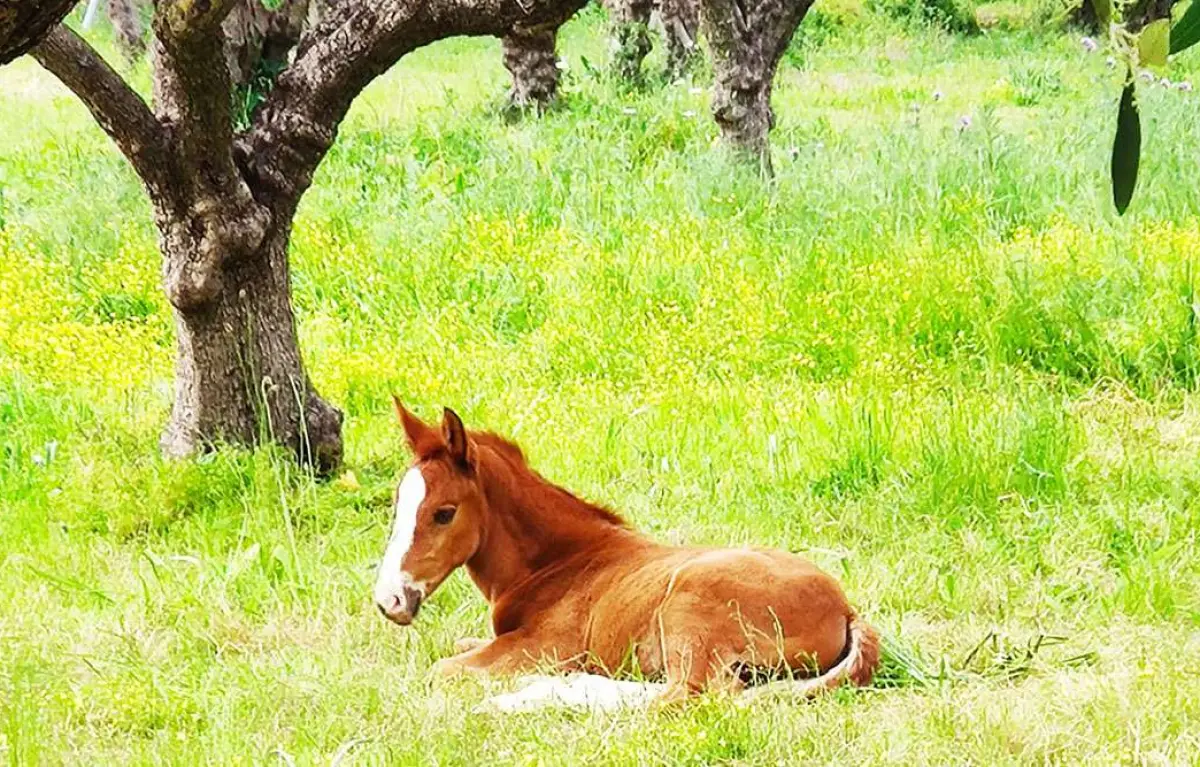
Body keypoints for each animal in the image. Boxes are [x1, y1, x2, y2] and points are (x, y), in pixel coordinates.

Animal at [374, 405, 883, 705]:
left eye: (443, 513)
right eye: (398, 504)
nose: (389, 600)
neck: (558, 564)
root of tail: (846, 609)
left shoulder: (541, 648)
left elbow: (441, 670)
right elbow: (458, 646)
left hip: (690, 613)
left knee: (689, 695)